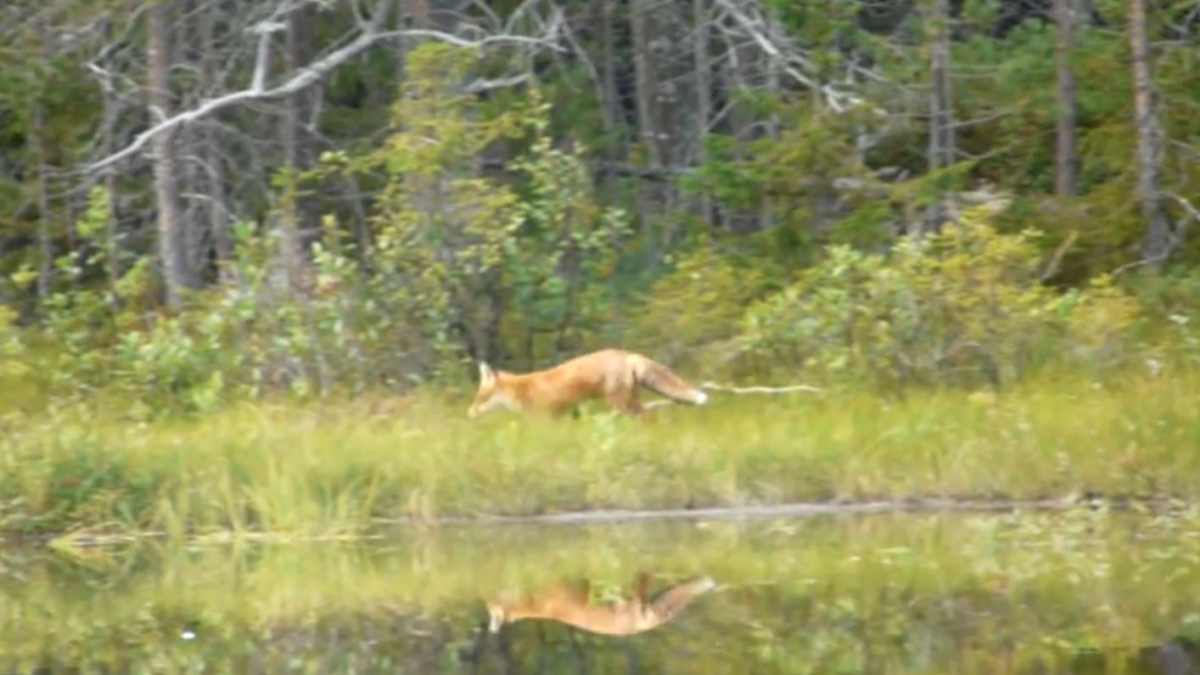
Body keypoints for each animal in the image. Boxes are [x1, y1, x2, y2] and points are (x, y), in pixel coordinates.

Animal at [467, 348, 709, 418]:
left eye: (480, 397)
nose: (470, 413)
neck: (522, 390)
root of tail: (625, 353)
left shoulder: (544, 418)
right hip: (630, 401)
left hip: (622, 403)